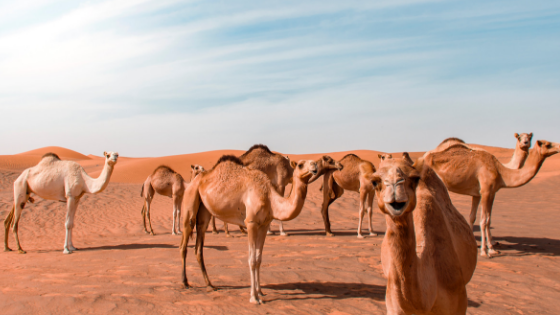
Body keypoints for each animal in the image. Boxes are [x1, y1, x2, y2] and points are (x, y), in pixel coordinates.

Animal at [180, 157, 320, 304]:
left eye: (313, 162)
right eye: (300, 165)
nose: (314, 165)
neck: (270, 198)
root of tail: (194, 181)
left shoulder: (264, 225)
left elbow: (258, 259)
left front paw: (260, 292)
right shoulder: (251, 223)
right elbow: (252, 260)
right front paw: (254, 297)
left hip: (204, 212)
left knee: (198, 246)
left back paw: (210, 285)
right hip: (190, 200)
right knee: (184, 243)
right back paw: (185, 282)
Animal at [422, 139, 556, 258]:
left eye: (529, 137)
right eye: (547, 144)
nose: (525, 143)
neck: (501, 172)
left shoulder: (484, 193)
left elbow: (478, 218)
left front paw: (488, 248)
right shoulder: (486, 191)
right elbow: (484, 221)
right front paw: (484, 251)